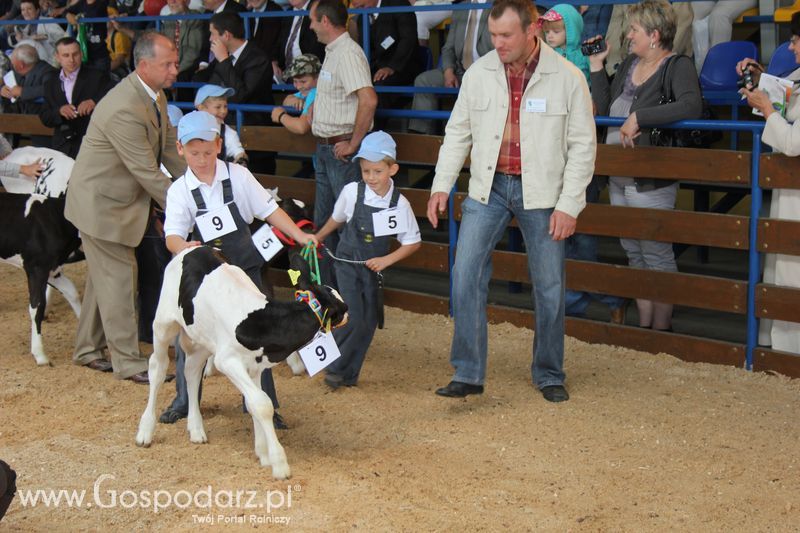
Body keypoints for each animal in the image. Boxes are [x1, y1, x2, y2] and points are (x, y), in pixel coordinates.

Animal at [137, 247, 346, 480]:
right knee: (157, 368)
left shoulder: (254, 367)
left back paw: (196, 429)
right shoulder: (227, 361)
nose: (348, 309)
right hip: (163, 323)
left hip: (203, 339)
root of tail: (194, 248)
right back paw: (145, 431)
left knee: (191, 371)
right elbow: (262, 404)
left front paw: (263, 453)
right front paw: (279, 463)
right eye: (340, 308)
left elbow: (255, 403)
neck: (261, 324)